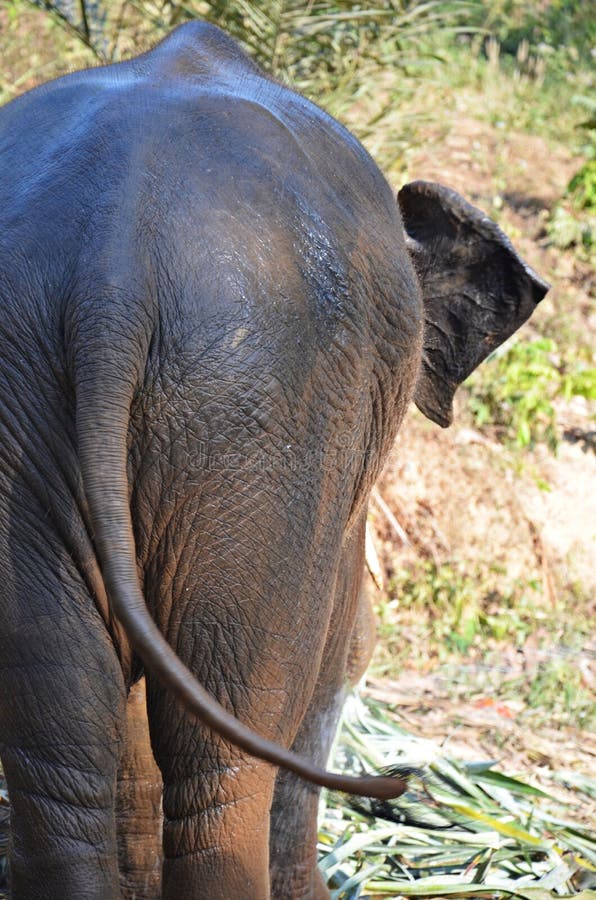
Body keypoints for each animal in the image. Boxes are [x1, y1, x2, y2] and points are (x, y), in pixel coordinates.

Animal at [0, 19, 548, 900]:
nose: (401, 780)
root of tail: (108, 270)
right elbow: (342, 641)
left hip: (47, 407)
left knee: (60, 740)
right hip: (260, 408)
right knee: (229, 749)